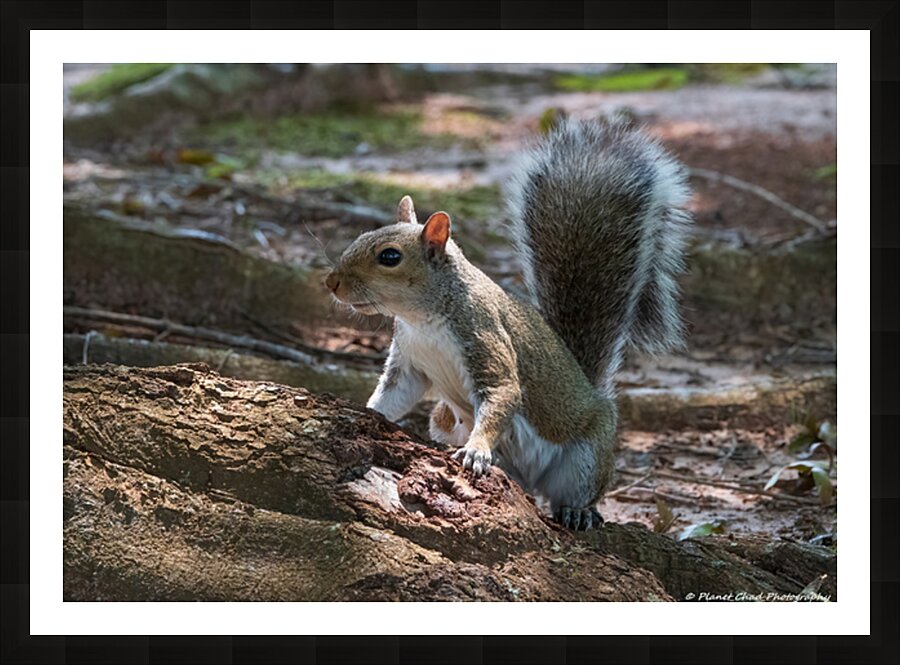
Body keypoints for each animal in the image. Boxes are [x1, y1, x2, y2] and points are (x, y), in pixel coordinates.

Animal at [324, 118, 692, 530]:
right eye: (361, 236)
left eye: (390, 257)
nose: (332, 282)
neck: (422, 320)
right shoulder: (408, 361)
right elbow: (393, 395)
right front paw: (367, 410)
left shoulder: (485, 339)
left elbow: (503, 393)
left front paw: (478, 450)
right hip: (444, 420)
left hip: (587, 455)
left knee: (576, 489)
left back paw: (579, 510)